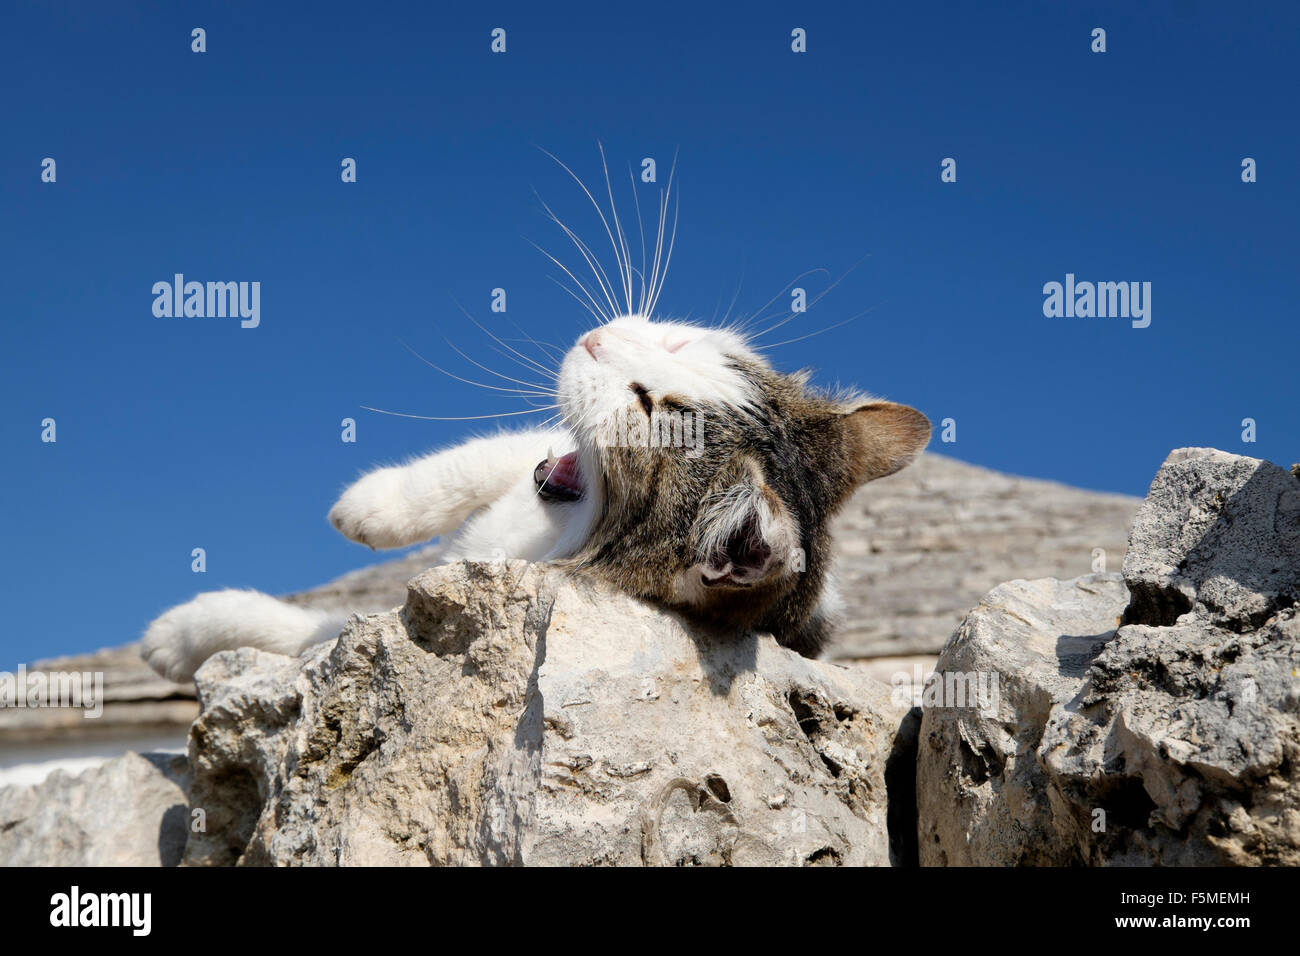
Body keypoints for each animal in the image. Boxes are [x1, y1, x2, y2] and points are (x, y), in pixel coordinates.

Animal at [142, 157, 930, 686]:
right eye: (683, 348)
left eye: (648, 407)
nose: (597, 341)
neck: (560, 521)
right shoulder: (532, 456)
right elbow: (477, 460)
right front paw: (372, 505)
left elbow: (325, 636)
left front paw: (182, 637)